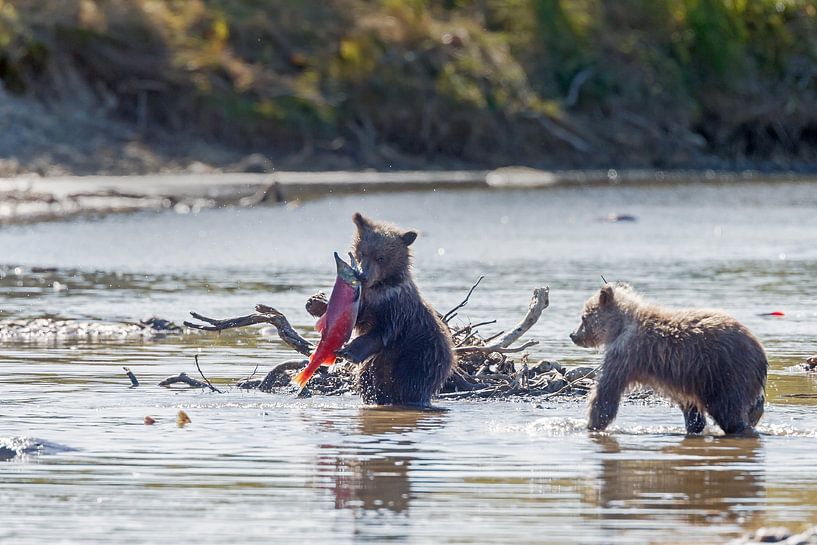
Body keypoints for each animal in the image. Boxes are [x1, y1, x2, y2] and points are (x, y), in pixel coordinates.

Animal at [334, 212, 455, 407]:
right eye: (362, 252)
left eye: (381, 258)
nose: (363, 275)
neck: (379, 287)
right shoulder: (365, 300)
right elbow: (358, 318)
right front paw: (318, 304)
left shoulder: (396, 308)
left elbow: (381, 333)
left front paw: (349, 351)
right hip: (377, 366)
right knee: (367, 379)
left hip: (420, 355)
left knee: (412, 381)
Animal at [569, 282, 767, 435]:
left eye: (583, 317)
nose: (573, 335)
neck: (619, 327)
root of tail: (759, 350)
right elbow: (690, 407)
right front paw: (694, 425)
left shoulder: (625, 355)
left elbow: (607, 390)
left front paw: (591, 423)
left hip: (725, 371)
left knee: (728, 410)